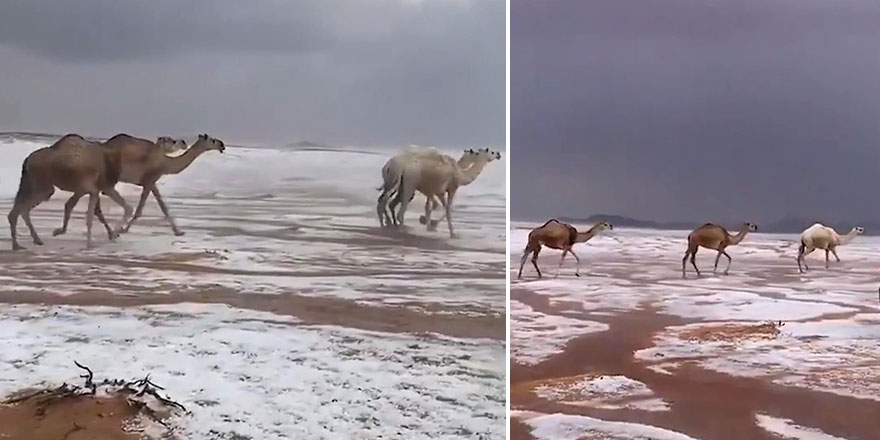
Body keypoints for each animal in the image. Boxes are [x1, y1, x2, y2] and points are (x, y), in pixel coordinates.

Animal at [52, 134, 187, 237]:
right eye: (172, 140)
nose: (184, 142)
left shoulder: (149, 181)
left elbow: (160, 206)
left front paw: (178, 232)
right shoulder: (149, 180)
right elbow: (142, 208)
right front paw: (120, 230)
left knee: (73, 204)